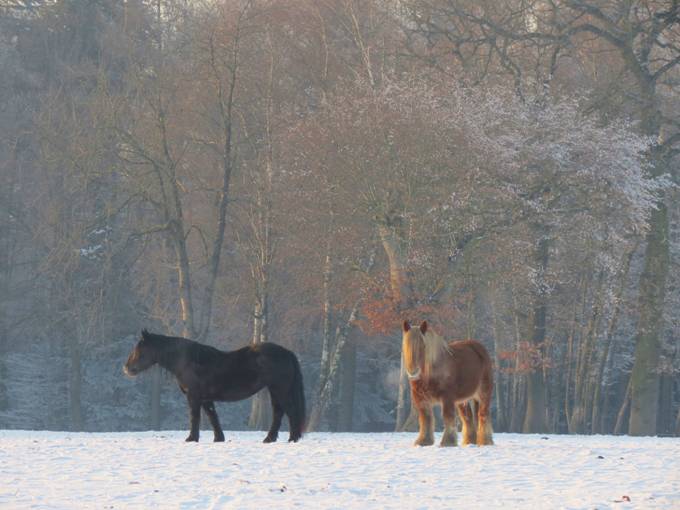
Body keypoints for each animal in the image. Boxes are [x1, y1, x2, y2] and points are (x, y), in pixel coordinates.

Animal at [124, 330, 306, 442]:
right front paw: (219, 438)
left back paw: (292, 438)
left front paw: (191, 438)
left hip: (280, 390)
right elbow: (212, 417)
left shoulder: (194, 396)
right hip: (274, 390)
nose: (126, 368)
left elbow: (195, 417)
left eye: (140, 350)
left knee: (290, 412)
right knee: (279, 413)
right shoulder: (206, 399)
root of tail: (287, 352)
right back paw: (269, 439)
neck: (187, 362)